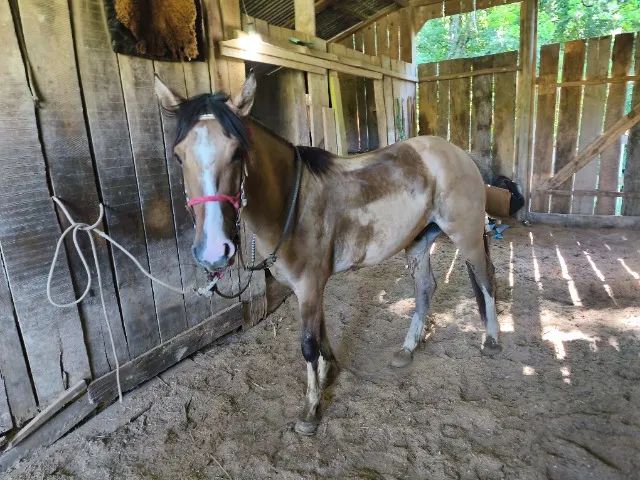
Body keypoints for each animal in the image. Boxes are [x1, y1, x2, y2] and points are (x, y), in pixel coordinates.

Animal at [154, 72, 501, 435]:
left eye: (237, 152)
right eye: (178, 156)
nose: (213, 250)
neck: (292, 203)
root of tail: (457, 154)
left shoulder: (309, 285)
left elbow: (308, 343)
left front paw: (311, 409)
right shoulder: (309, 287)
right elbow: (321, 332)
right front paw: (328, 372)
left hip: (467, 235)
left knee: (485, 278)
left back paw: (491, 341)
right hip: (419, 240)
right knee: (424, 288)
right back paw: (407, 349)